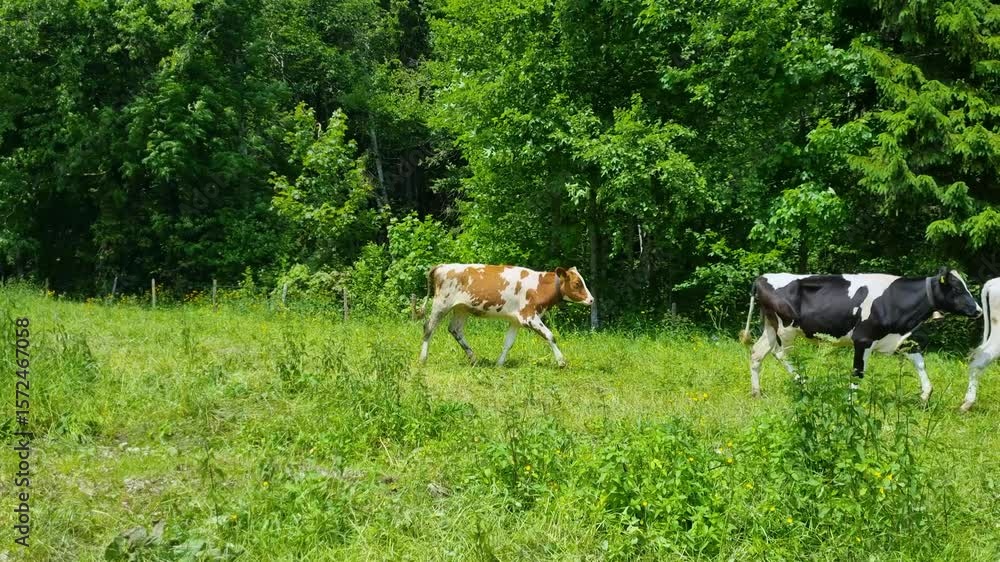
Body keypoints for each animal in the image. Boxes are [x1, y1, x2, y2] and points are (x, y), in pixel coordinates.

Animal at [419, 264, 594, 367]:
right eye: (577, 284)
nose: (591, 299)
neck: (539, 286)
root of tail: (442, 266)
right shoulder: (529, 316)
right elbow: (550, 336)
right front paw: (561, 361)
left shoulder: (516, 320)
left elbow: (508, 343)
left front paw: (499, 363)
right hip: (442, 303)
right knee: (428, 327)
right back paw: (423, 358)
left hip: (462, 308)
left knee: (455, 330)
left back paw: (473, 358)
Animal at [739, 267, 981, 399]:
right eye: (957, 289)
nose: (978, 310)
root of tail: (762, 277)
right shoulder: (863, 339)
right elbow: (858, 372)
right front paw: (851, 401)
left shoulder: (901, 338)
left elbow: (919, 362)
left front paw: (926, 394)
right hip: (787, 329)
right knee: (780, 354)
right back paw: (804, 383)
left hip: (770, 327)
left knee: (757, 353)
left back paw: (756, 392)